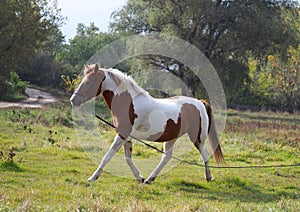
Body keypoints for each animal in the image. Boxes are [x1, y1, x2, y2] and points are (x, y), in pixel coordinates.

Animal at [70, 63, 223, 184]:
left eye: (89, 82)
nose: (73, 100)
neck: (129, 104)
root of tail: (200, 103)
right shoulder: (126, 136)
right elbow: (128, 158)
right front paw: (140, 177)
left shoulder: (122, 134)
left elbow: (107, 156)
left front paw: (93, 177)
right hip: (172, 137)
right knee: (167, 157)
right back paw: (150, 179)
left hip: (197, 138)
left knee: (204, 154)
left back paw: (208, 177)